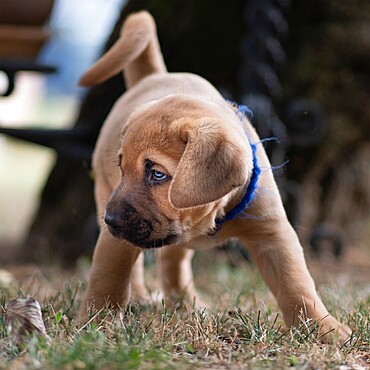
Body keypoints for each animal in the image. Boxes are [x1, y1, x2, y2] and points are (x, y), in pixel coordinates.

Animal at [78, 10, 350, 342]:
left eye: (157, 174)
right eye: (122, 168)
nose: (111, 219)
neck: (211, 214)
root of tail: (156, 76)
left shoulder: (273, 234)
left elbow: (296, 284)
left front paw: (323, 329)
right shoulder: (116, 242)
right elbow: (108, 281)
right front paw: (96, 326)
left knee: (173, 263)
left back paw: (186, 305)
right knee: (145, 266)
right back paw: (143, 297)